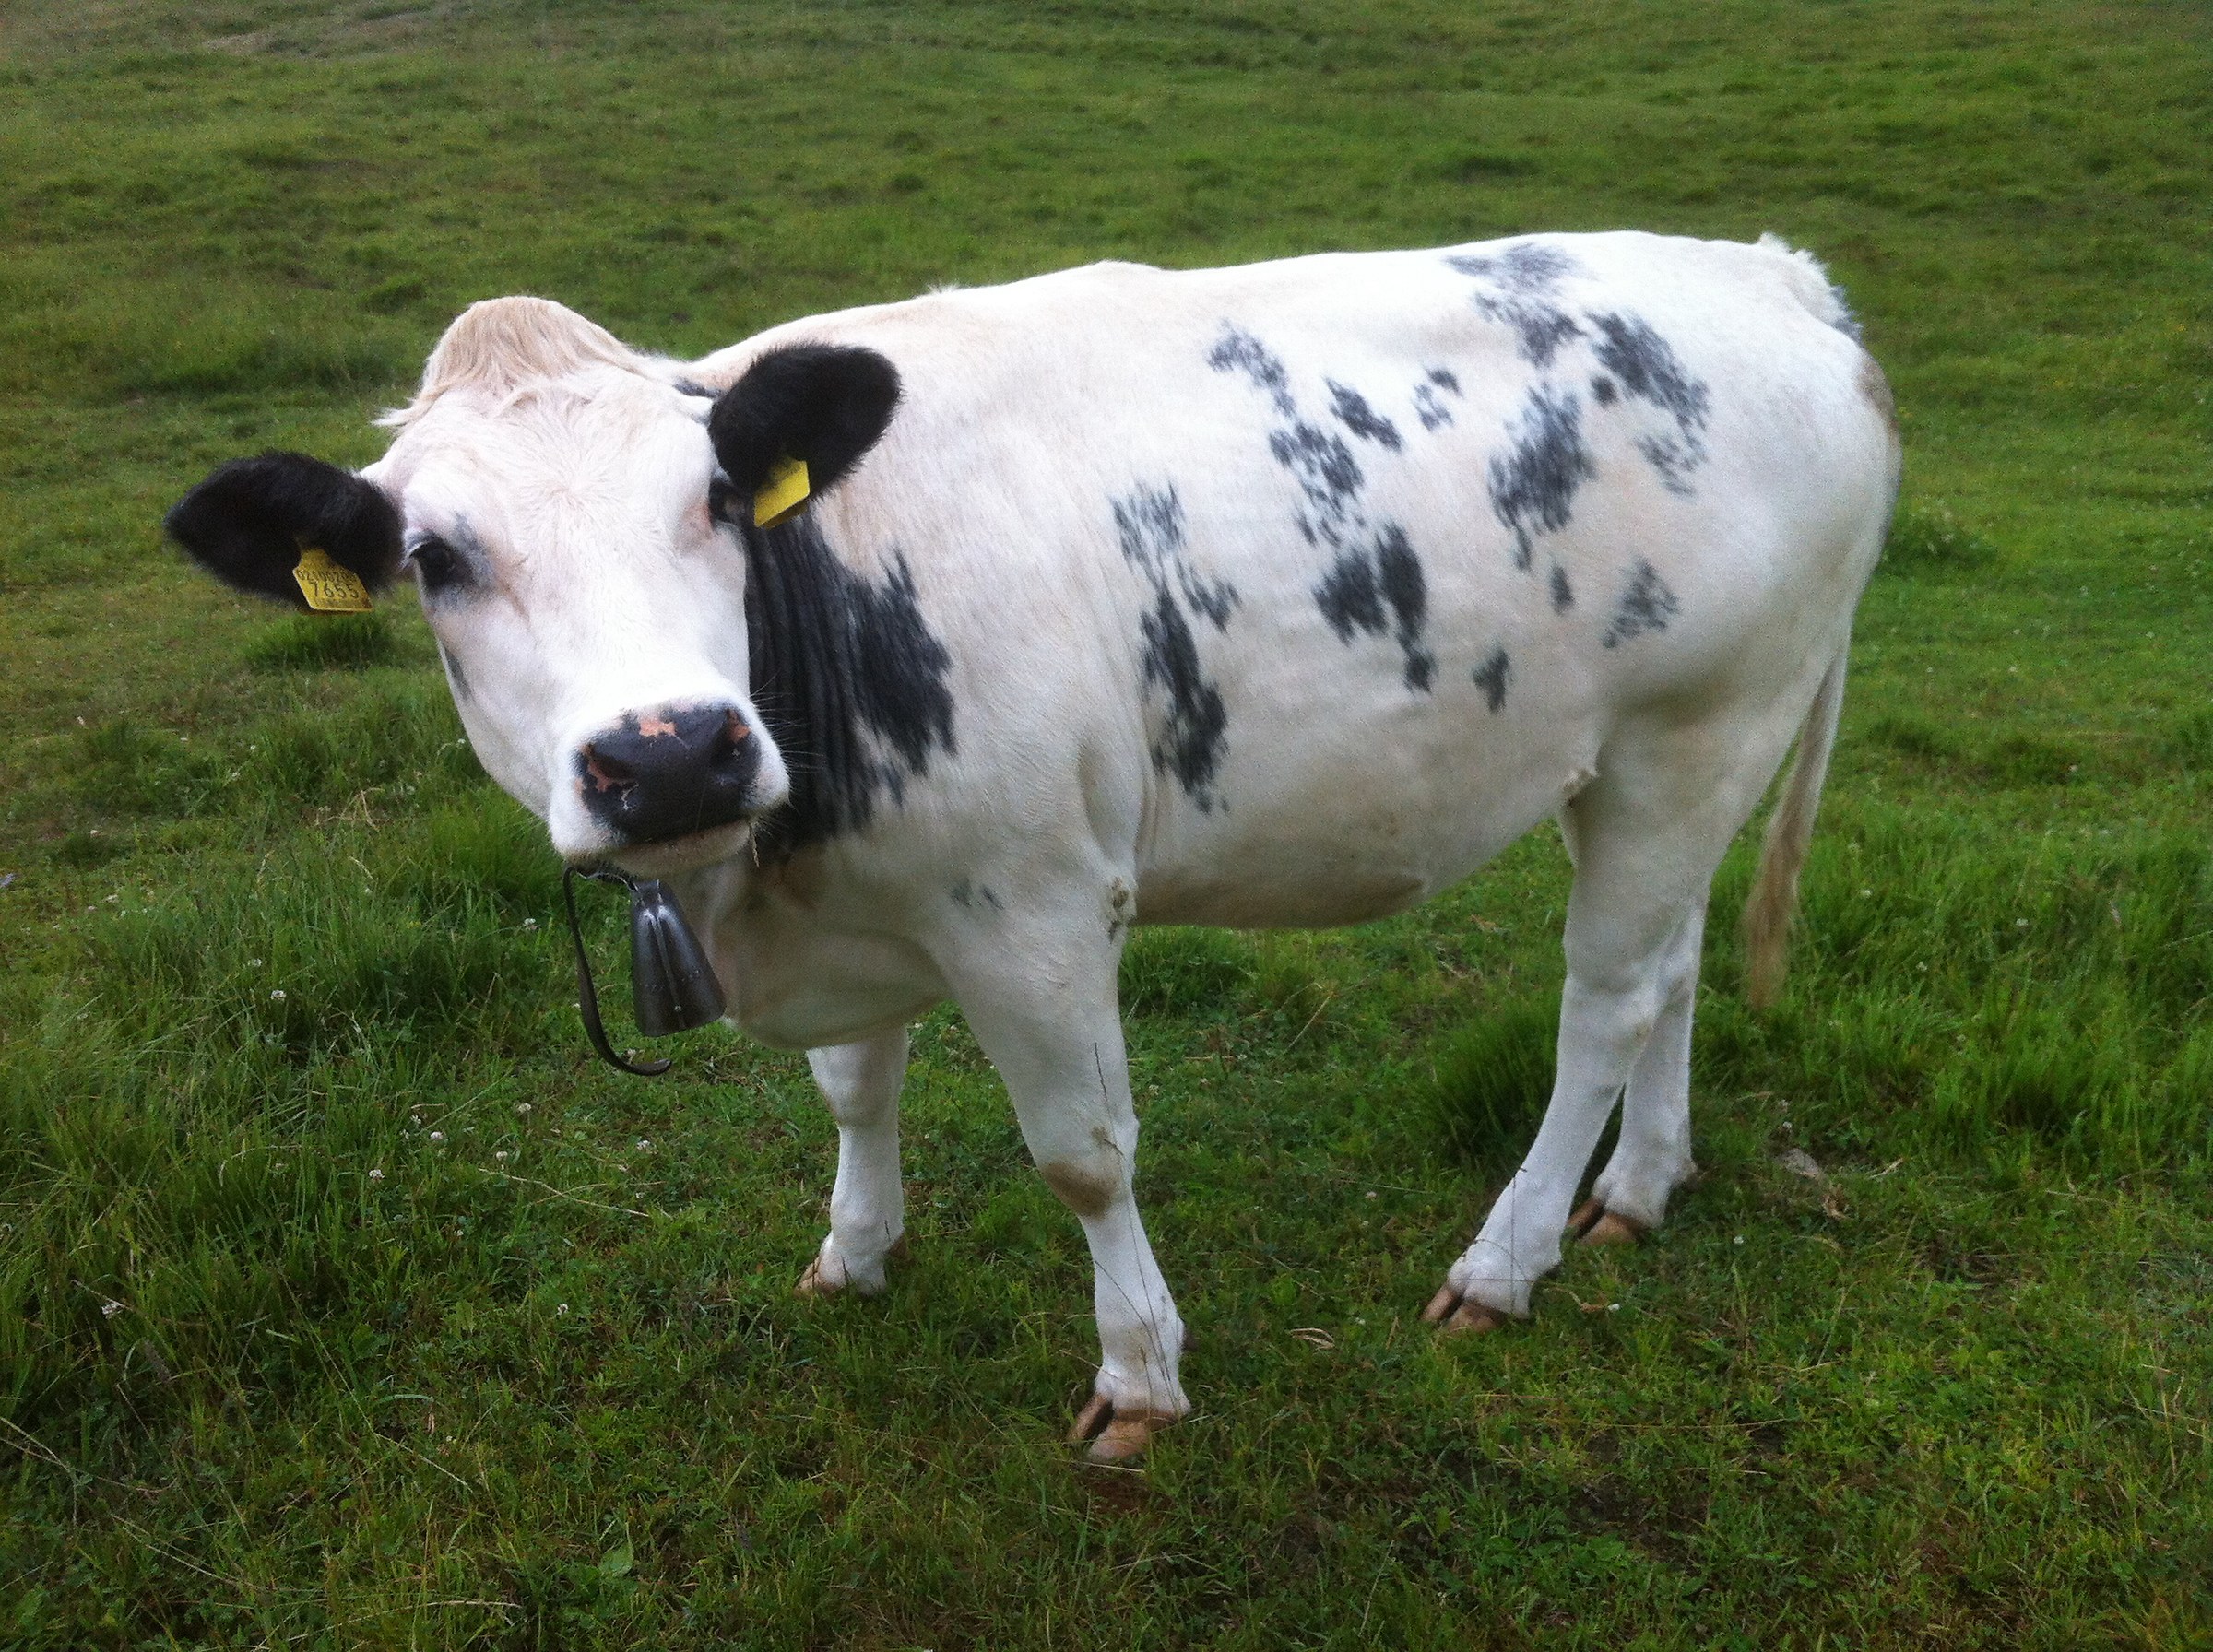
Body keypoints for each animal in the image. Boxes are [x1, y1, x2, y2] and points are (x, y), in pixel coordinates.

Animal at [164, 232, 1899, 1463]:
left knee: (1604, 1003)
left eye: (719, 496)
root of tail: (1769, 271)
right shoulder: (859, 910)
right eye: (437, 559)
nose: (667, 754)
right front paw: (855, 1249)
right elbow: (853, 1090)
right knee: (1673, 968)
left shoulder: (1035, 908)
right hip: (1667, 761)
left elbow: (1083, 1155)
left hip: (1695, 724)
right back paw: (1641, 1189)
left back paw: (1506, 1260)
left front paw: (1137, 1377)